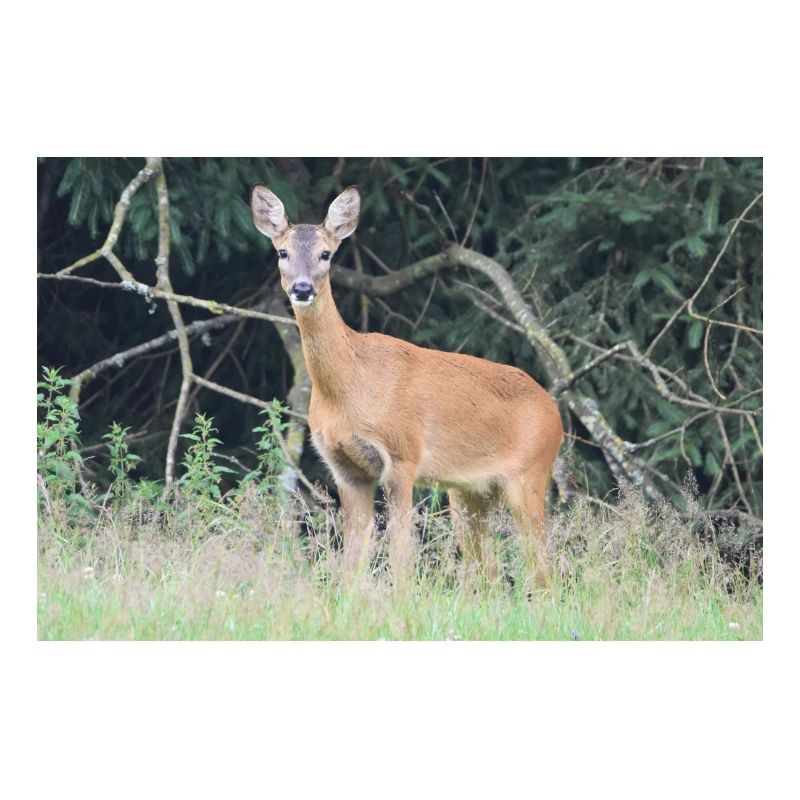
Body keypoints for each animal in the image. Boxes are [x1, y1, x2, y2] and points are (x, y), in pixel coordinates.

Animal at [251, 184, 563, 586]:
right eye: (282, 252)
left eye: (325, 253)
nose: (302, 288)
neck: (348, 390)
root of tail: (555, 411)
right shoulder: (345, 468)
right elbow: (353, 557)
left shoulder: (403, 454)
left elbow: (402, 553)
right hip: (469, 492)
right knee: (488, 571)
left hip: (529, 473)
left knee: (541, 567)